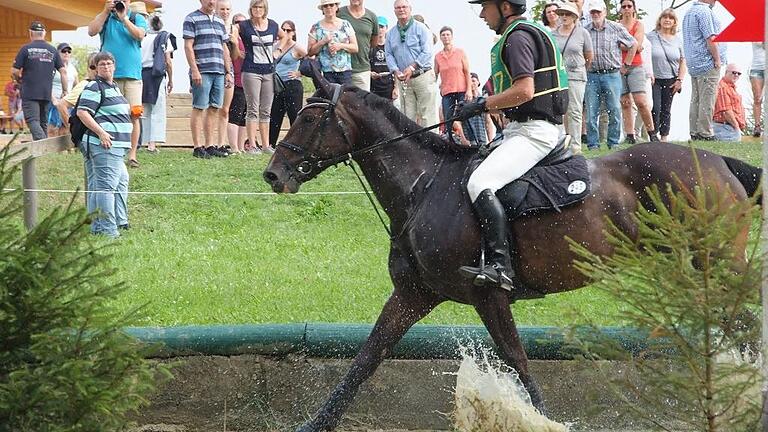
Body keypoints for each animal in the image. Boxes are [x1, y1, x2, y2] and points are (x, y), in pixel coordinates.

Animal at [264, 79, 760, 430]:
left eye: (309, 119)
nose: (273, 175)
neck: (425, 187)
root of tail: (717, 162)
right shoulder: (413, 295)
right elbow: (366, 360)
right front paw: (316, 423)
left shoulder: (489, 294)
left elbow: (517, 358)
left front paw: (546, 421)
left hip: (715, 264)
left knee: (746, 325)